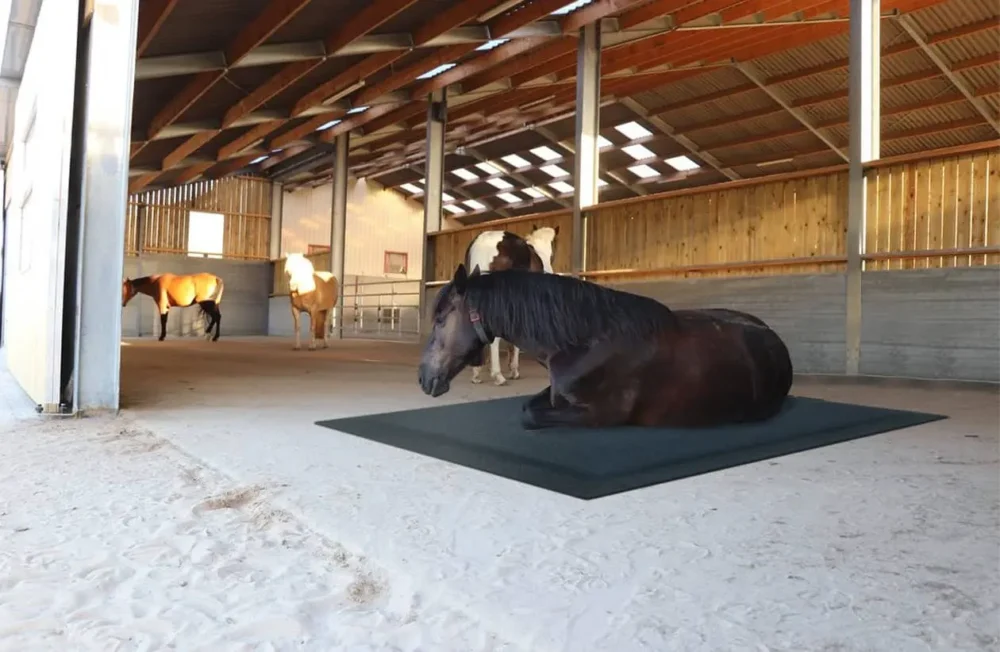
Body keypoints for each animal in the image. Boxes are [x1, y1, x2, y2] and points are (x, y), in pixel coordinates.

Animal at [418, 264, 793, 430]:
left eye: (441, 319)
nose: (423, 378)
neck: (586, 342)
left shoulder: (602, 414)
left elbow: (528, 415)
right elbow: (528, 405)